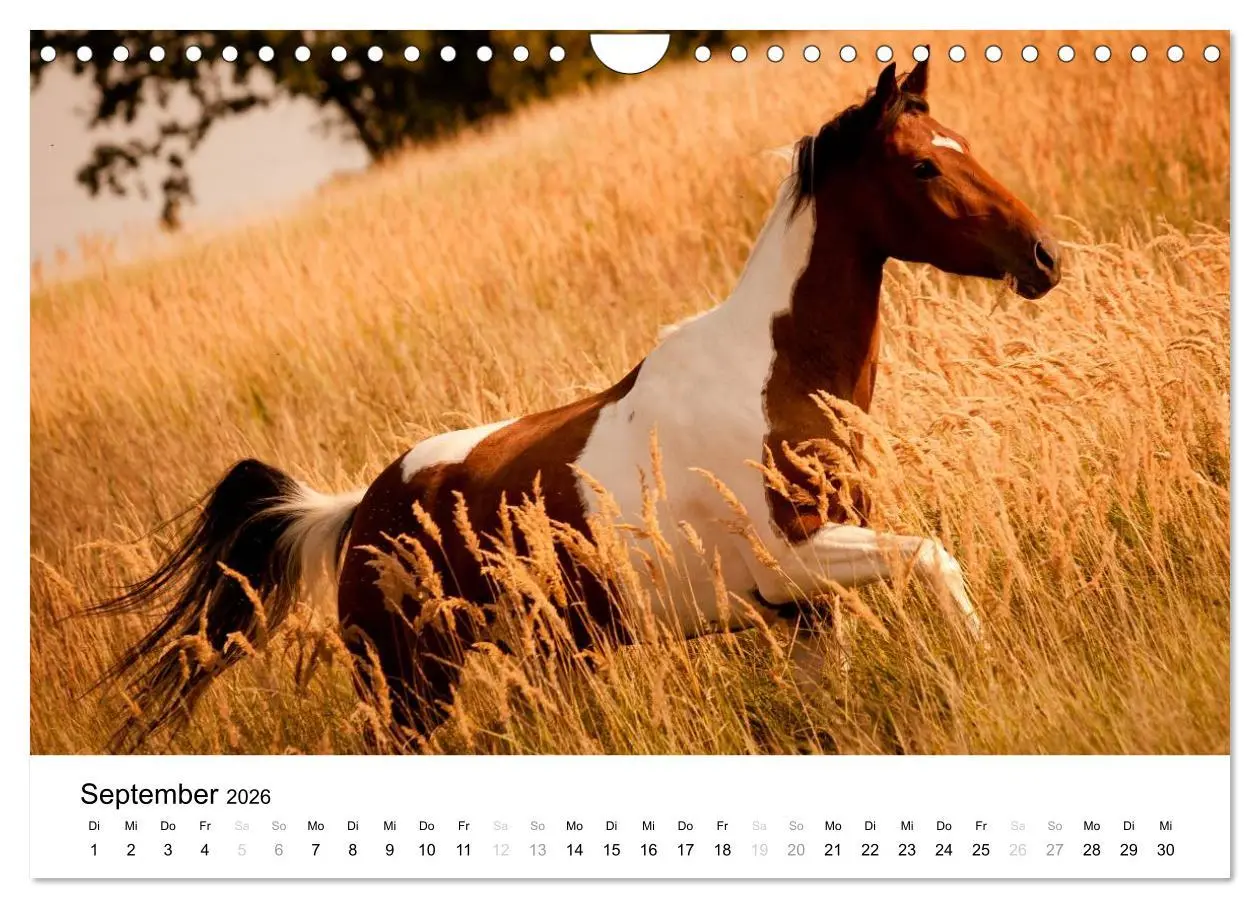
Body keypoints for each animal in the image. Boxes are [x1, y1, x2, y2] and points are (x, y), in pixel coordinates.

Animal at [95, 59, 1060, 750]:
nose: (1043, 256)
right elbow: (934, 556)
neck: (775, 375)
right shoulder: (794, 566)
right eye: (924, 164)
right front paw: (986, 659)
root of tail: (355, 512)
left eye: (964, 141)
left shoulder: (804, 610)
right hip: (408, 688)